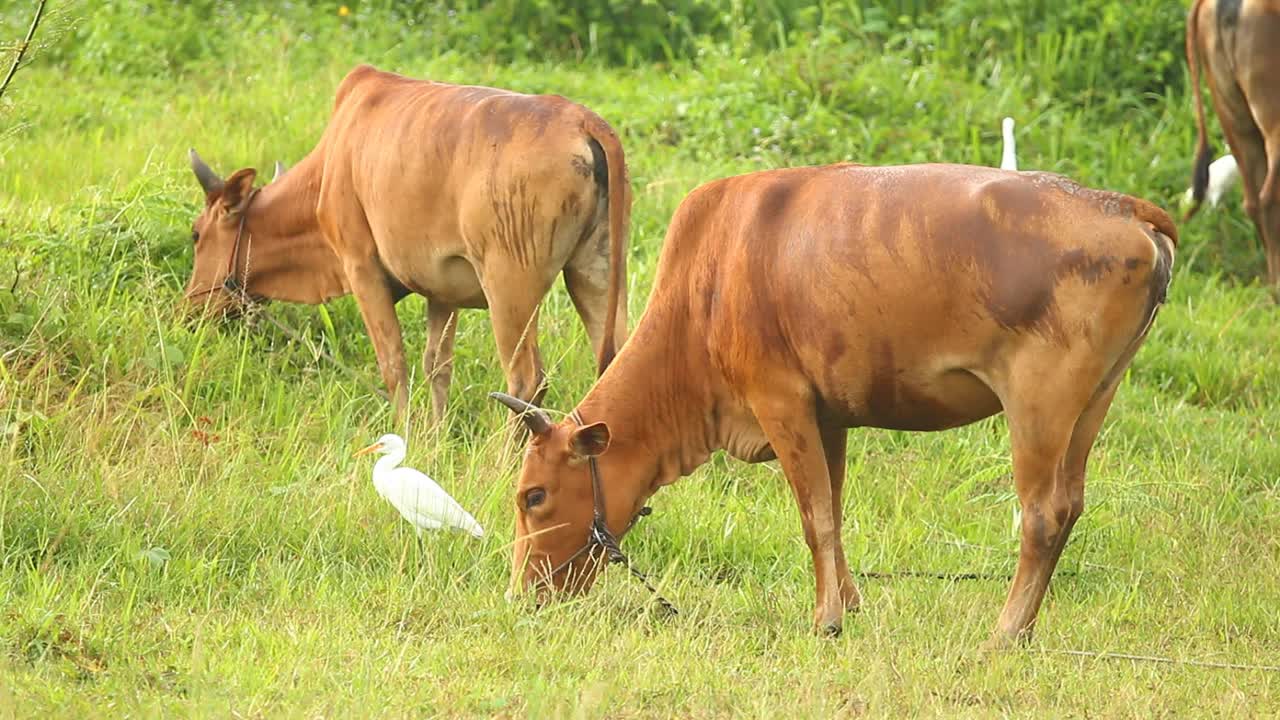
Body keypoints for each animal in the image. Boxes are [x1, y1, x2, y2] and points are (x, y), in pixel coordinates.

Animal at [183, 64, 632, 422]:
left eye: (196, 233)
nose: (189, 310)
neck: (329, 167)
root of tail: (581, 121)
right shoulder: (443, 291)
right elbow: (437, 366)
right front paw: (435, 437)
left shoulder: (360, 266)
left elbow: (393, 362)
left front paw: (406, 434)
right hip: (597, 271)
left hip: (510, 287)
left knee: (526, 383)